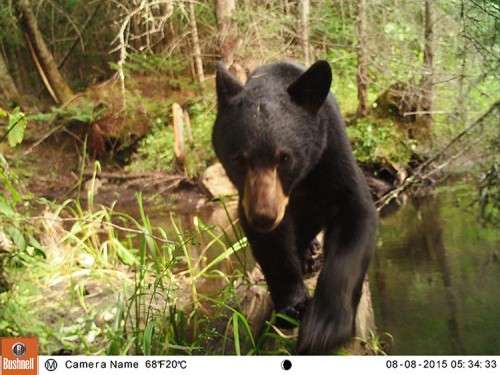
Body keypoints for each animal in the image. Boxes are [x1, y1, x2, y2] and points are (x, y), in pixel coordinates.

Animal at [212, 60, 378, 354]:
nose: (263, 217)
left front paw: (324, 326)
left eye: (285, 157)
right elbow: (273, 248)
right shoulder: (250, 197)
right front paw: (293, 305)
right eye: (239, 159)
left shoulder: (333, 152)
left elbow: (356, 216)